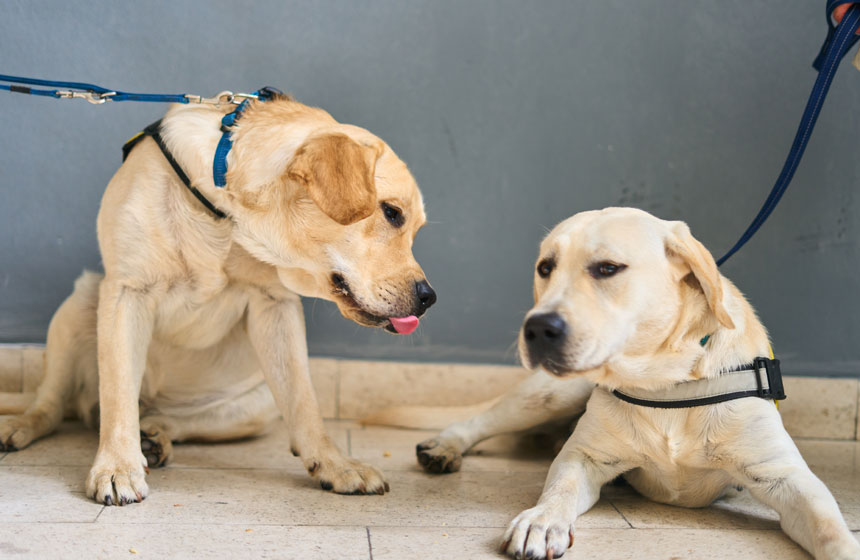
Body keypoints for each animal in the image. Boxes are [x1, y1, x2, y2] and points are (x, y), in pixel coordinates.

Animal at [0, 91, 434, 504]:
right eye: (391, 212)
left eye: (414, 228)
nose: (429, 297)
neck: (225, 213)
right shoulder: (126, 291)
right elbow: (119, 396)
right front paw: (117, 468)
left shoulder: (275, 306)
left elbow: (305, 405)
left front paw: (335, 465)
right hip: (80, 302)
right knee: (52, 404)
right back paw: (22, 425)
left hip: (258, 405)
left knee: (179, 421)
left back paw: (155, 435)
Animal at [378, 209, 860, 560]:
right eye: (545, 268)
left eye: (608, 268)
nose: (537, 328)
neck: (666, 384)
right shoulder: (583, 458)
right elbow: (558, 491)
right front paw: (540, 521)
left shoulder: (784, 477)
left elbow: (830, 525)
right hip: (553, 393)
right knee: (479, 421)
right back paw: (445, 447)